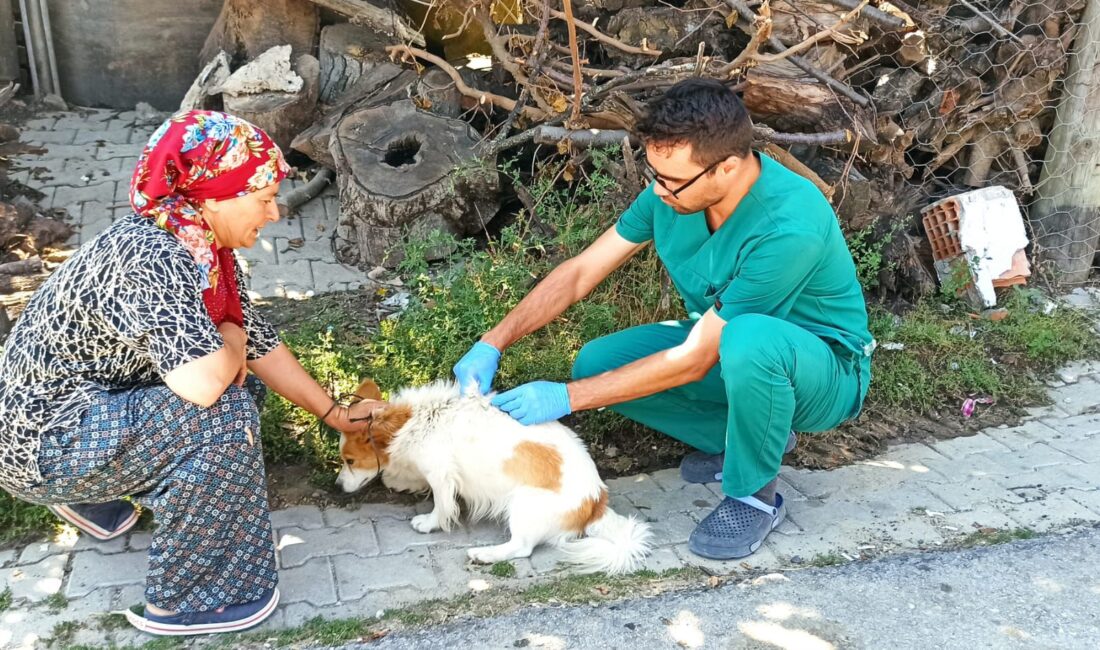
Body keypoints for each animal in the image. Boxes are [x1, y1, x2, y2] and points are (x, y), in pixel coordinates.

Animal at [338, 380, 646, 576]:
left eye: (349, 460)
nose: (337, 487)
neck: (415, 420)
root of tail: (596, 501)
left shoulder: (441, 475)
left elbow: (441, 505)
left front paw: (428, 522)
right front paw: (399, 481)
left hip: (522, 503)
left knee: (522, 548)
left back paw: (486, 554)